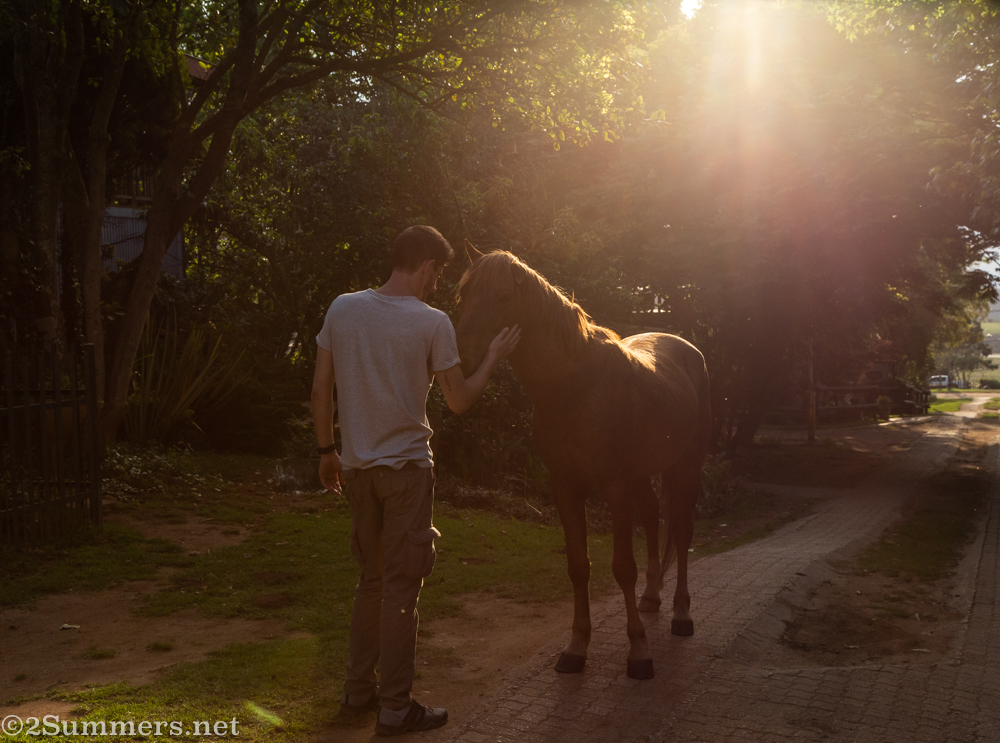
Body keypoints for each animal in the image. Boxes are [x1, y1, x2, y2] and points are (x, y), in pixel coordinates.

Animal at [455, 245, 711, 680]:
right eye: (463, 294)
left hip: (685, 465)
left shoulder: (614, 487)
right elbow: (578, 565)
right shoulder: (565, 486)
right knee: (654, 518)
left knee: (680, 529)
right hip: (643, 474)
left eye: (503, 298)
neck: (574, 387)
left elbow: (622, 566)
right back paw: (651, 597)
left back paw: (680, 615)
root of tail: (687, 348)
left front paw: (639, 652)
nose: (463, 361)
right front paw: (576, 649)